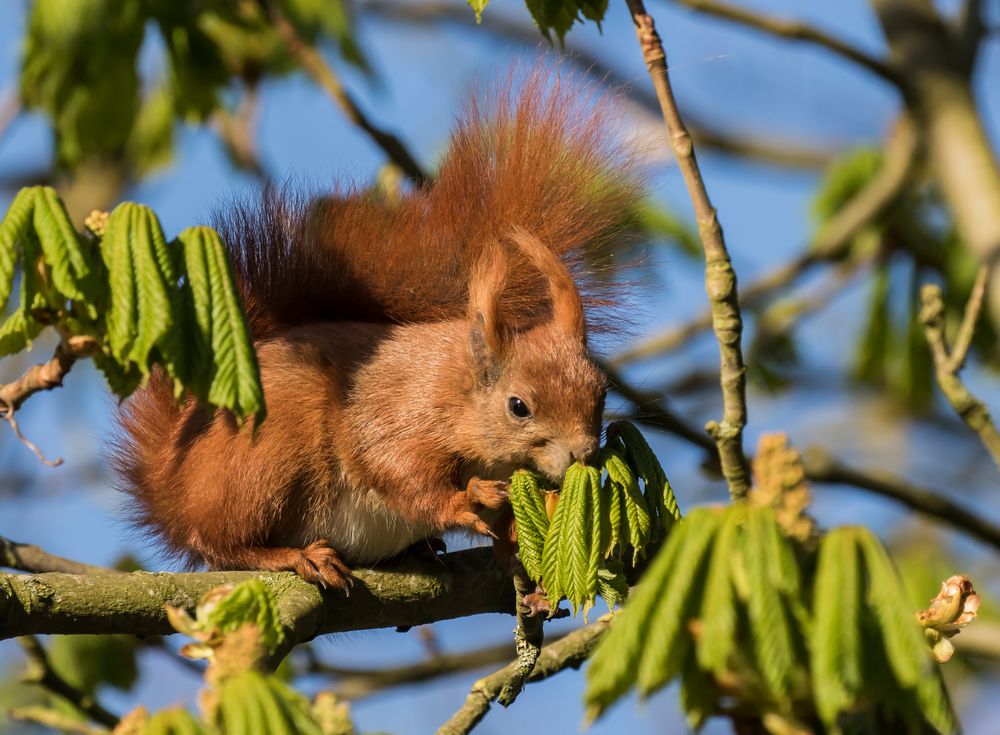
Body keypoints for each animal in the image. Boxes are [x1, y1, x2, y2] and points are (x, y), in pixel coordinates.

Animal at [111, 73, 640, 592]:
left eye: (602, 391)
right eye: (518, 407)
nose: (584, 454)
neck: (459, 390)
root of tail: (168, 487)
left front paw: (517, 552)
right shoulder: (402, 411)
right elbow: (392, 465)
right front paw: (465, 500)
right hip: (264, 460)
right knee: (220, 543)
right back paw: (296, 555)